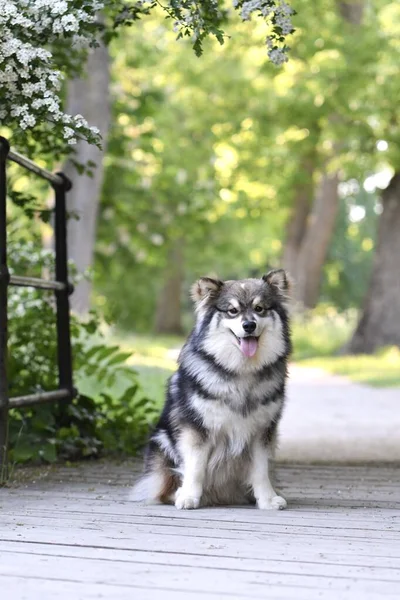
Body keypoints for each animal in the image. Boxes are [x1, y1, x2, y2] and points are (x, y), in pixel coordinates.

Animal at [133, 270, 292, 508]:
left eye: (259, 308)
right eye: (233, 311)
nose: (249, 325)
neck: (241, 370)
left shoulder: (262, 432)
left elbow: (261, 471)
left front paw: (266, 499)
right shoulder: (197, 429)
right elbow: (196, 467)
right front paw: (188, 496)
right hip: (162, 442)